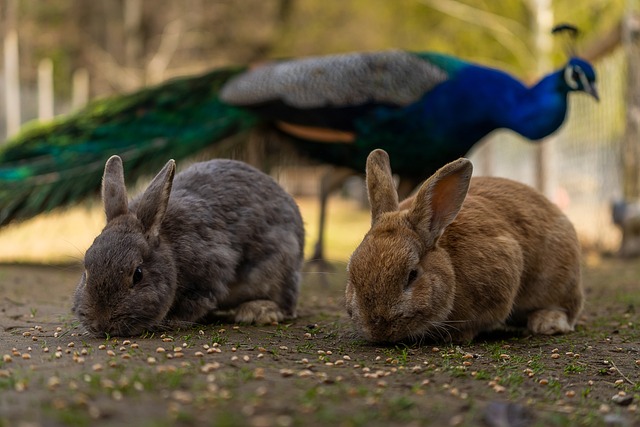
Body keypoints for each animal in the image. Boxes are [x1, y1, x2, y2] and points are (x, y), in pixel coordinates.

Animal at [72, 155, 304, 338]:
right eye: (86, 271)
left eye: (138, 274)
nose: (102, 324)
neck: (170, 249)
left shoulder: (211, 274)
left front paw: (171, 322)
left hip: (280, 266)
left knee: (286, 304)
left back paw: (257, 311)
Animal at [344, 149, 584, 342]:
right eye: (352, 274)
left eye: (412, 275)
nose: (379, 331)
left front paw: (456, 336)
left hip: (557, 280)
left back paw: (546, 322)